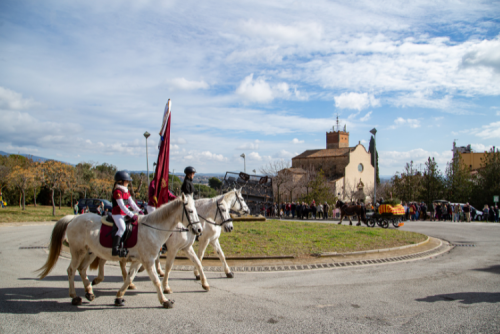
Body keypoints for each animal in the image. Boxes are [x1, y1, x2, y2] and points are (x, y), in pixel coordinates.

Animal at [36, 193, 202, 308]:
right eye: (190, 211)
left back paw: (89, 292)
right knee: (71, 270)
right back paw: (74, 296)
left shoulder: (138, 260)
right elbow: (155, 280)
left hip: (90, 252)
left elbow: (129, 277)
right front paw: (165, 301)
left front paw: (119, 297)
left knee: (82, 269)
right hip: (78, 251)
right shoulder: (148, 260)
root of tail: (73, 219)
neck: (153, 229)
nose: (199, 230)